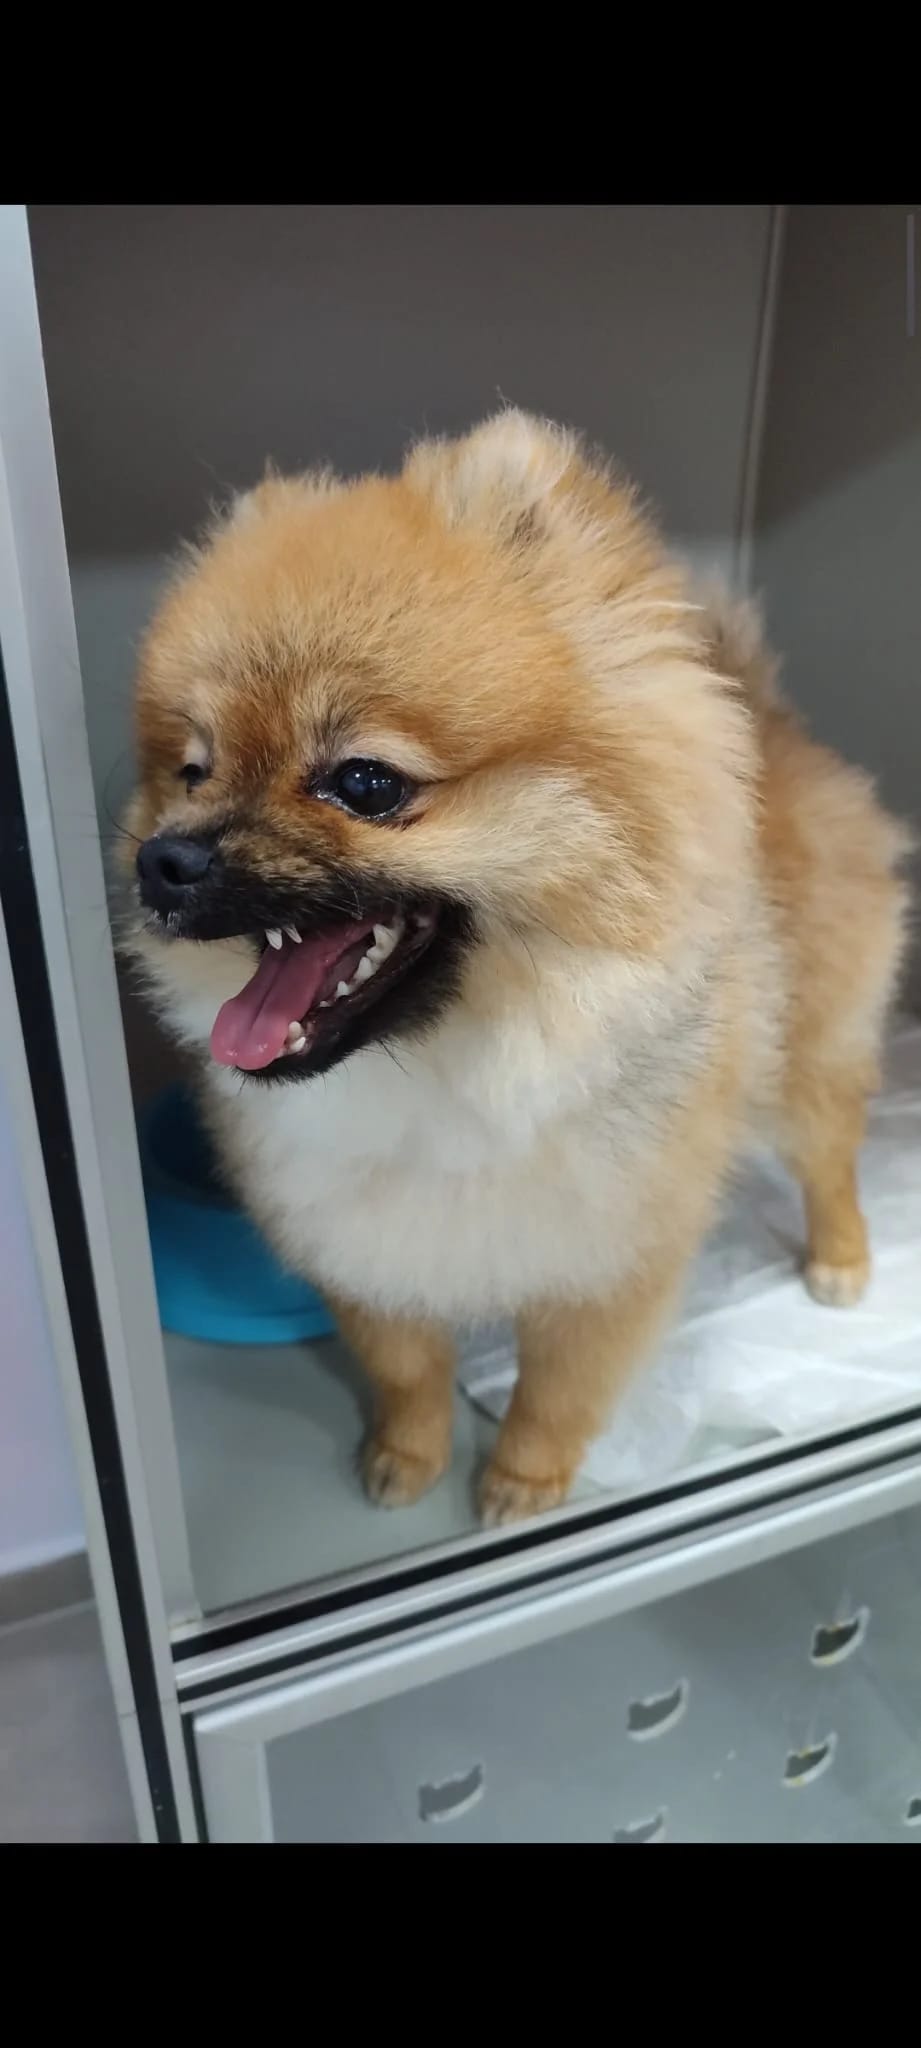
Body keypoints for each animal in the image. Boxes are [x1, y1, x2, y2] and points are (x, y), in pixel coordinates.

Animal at [122, 411, 910, 1525]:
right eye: (192, 771)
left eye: (364, 782)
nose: (164, 860)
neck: (458, 1064)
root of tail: (773, 724)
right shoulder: (364, 1241)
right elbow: (407, 1368)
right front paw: (406, 1457)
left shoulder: (608, 1256)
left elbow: (558, 1387)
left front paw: (523, 1482)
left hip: (810, 1055)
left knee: (829, 1152)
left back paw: (841, 1259)